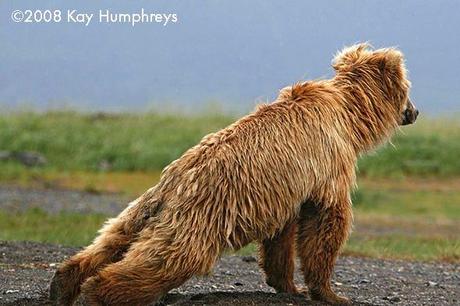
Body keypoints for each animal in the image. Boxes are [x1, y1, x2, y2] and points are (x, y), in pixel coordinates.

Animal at [48, 43, 418, 306]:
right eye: (408, 89)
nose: (414, 112)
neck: (351, 118)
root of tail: (173, 182)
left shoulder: (286, 188)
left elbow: (282, 237)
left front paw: (288, 285)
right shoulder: (329, 164)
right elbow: (326, 222)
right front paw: (331, 293)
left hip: (142, 208)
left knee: (111, 239)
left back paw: (63, 283)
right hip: (200, 215)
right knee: (170, 257)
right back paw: (97, 293)